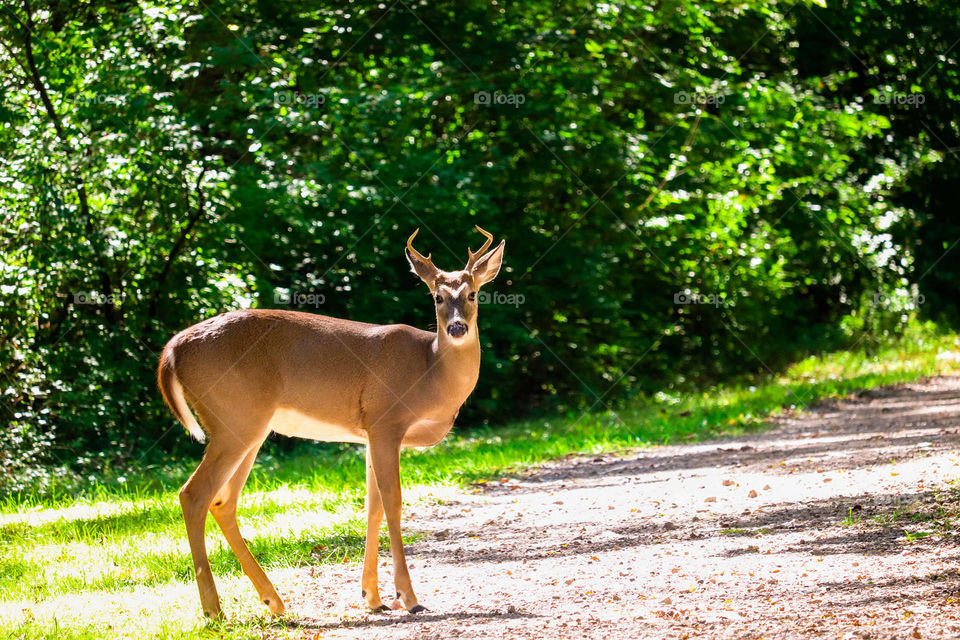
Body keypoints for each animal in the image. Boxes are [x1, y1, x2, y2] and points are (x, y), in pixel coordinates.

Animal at [157, 226, 504, 619]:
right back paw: (215, 610)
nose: (457, 327)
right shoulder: (386, 422)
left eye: (473, 294)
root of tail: (172, 349)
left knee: (222, 502)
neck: (430, 371)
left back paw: (274, 603)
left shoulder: (369, 435)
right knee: (194, 495)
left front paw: (372, 597)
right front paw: (408, 597)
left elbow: (373, 506)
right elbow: (394, 501)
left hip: (247, 427)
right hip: (234, 418)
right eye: (438, 296)